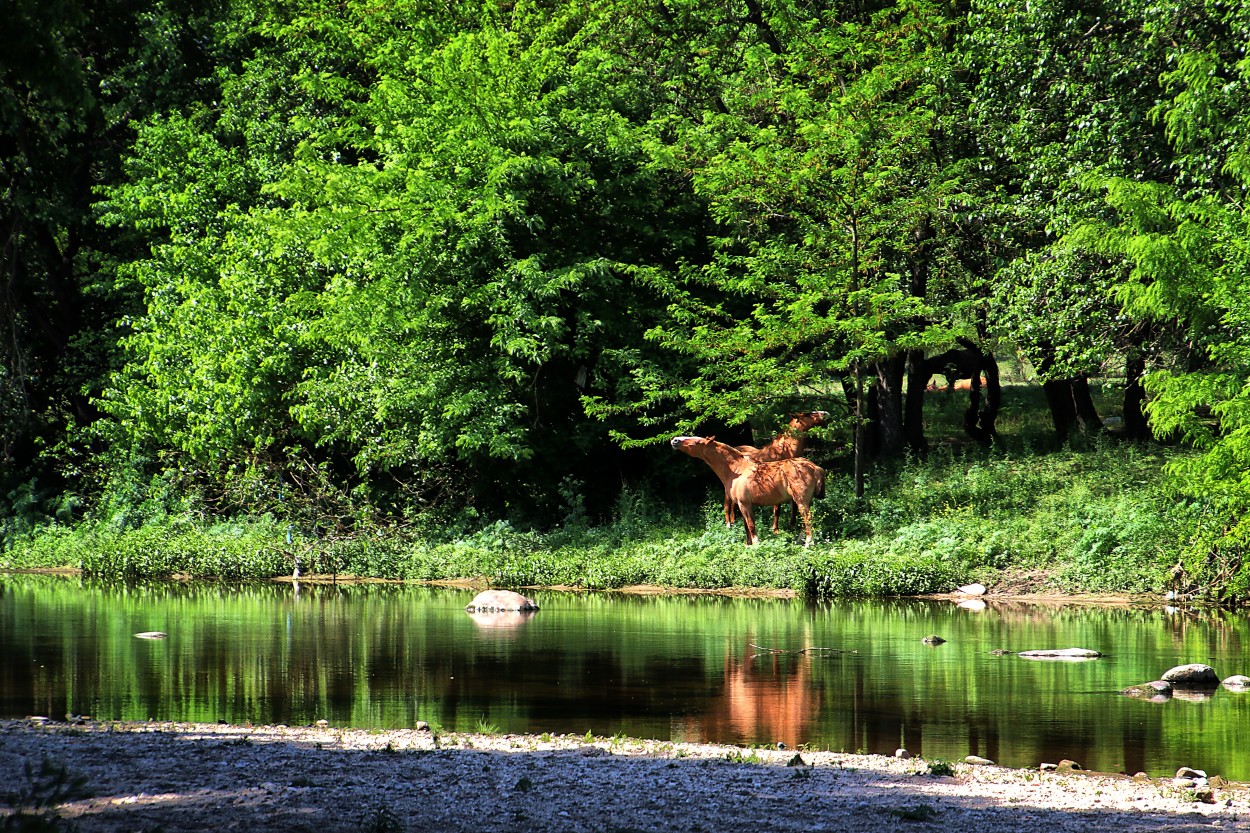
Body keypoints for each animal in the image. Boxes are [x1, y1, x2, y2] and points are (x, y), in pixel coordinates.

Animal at [670, 435, 825, 545]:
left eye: (697, 442)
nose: (675, 440)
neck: (736, 470)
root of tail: (815, 467)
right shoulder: (741, 504)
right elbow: (746, 527)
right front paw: (747, 545)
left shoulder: (745, 504)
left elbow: (751, 526)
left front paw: (756, 545)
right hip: (804, 501)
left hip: (801, 501)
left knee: (808, 519)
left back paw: (808, 543)